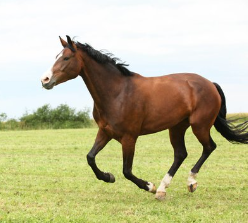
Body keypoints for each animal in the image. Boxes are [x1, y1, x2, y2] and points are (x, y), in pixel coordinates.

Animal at [41, 35, 248, 200]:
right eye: (56, 57)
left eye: (66, 57)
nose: (45, 80)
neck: (117, 93)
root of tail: (210, 83)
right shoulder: (105, 132)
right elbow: (90, 157)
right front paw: (108, 177)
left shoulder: (129, 138)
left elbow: (126, 171)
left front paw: (149, 186)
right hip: (177, 127)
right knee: (181, 154)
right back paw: (163, 189)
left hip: (200, 126)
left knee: (209, 147)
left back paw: (189, 183)